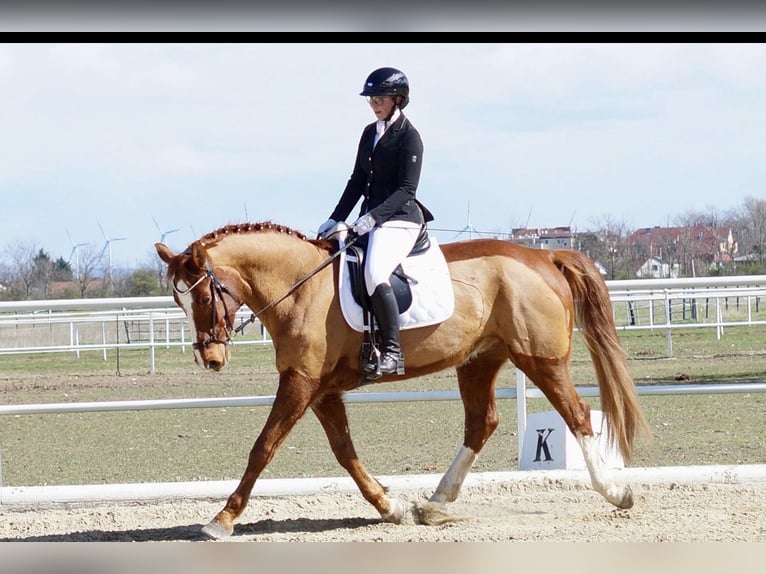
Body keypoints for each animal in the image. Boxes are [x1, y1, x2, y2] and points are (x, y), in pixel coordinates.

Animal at [155, 221, 650, 540]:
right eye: (179, 302)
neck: (301, 288)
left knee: (577, 414)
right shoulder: (320, 391)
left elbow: (263, 447)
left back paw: (616, 492)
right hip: (479, 360)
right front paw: (389, 507)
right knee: (480, 423)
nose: (210, 358)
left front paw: (221, 519)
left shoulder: (300, 383)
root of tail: (544, 253)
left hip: (540, 359)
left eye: (203, 296)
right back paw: (434, 504)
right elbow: (345, 452)